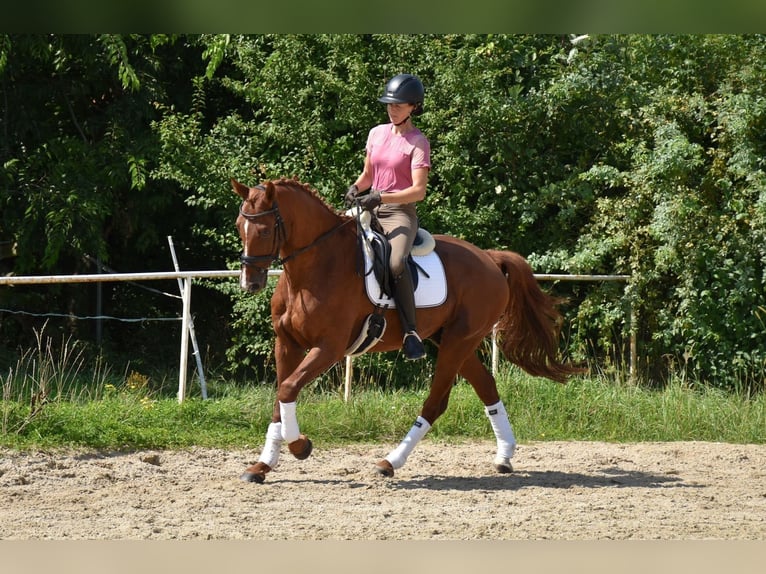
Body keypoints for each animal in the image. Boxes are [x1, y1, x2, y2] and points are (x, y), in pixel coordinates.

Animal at [234, 178, 584, 484]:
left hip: (458, 342)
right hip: (455, 341)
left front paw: (300, 446)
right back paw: (504, 456)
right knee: (486, 386)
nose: (250, 283)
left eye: (264, 230)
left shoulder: (329, 348)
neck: (315, 267)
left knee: (436, 403)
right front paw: (262, 465)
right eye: (240, 227)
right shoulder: (287, 344)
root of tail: (489, 257)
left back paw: (390, 462)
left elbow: (287, 389)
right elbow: (280, 399)